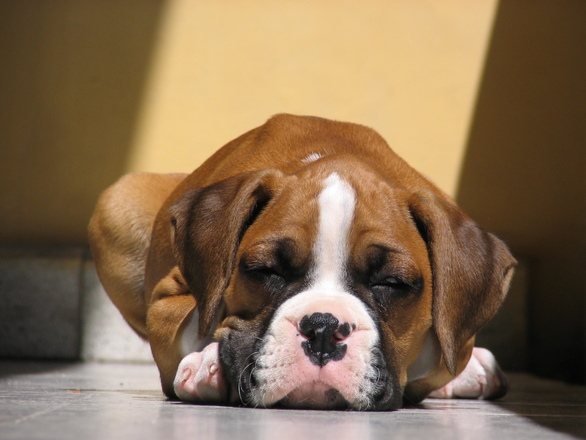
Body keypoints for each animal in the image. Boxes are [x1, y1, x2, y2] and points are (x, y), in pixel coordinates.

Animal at [88, 114, 515, 410]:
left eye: (392, 283)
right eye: (265, 271)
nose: (323, 328)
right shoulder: (168, 302)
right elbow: (204, 321)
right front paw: (210, 362)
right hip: (118, 202)